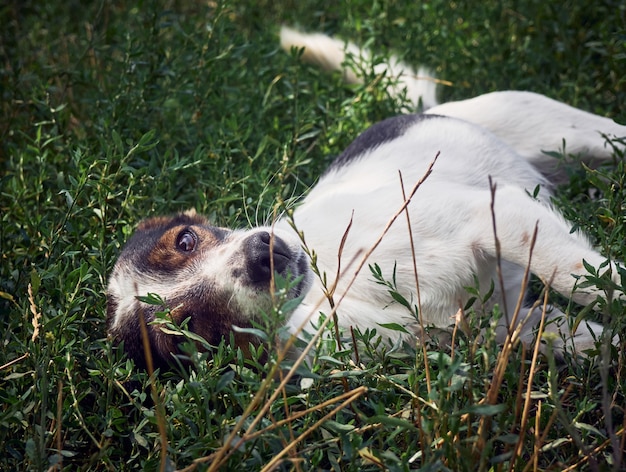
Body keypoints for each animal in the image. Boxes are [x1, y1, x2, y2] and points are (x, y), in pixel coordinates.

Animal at [105, 27, 620, 370]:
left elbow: (588, 279)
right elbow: (596, 332)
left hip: (569, 132)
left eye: (186, 240)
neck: (338, 288)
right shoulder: (513, 322)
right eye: (188, 329)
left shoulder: (496, 213)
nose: (260, 255)